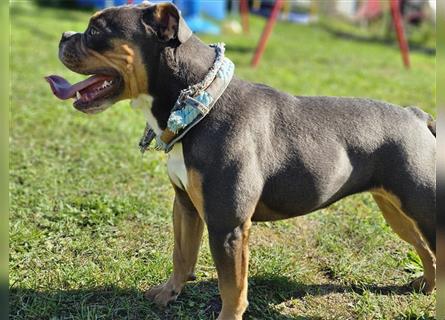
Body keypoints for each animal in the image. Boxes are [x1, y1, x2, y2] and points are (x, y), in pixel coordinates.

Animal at [46, 3, 436, 318]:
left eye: (97, 31)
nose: (63, 35)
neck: (198, 101)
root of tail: (415, 115)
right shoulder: (186, 206)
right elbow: (181, 254)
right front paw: (169, 293)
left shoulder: (227, 226)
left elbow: (232, 288)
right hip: (397, 211)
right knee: (427, 252)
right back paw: (426, 287)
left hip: (421, 208)